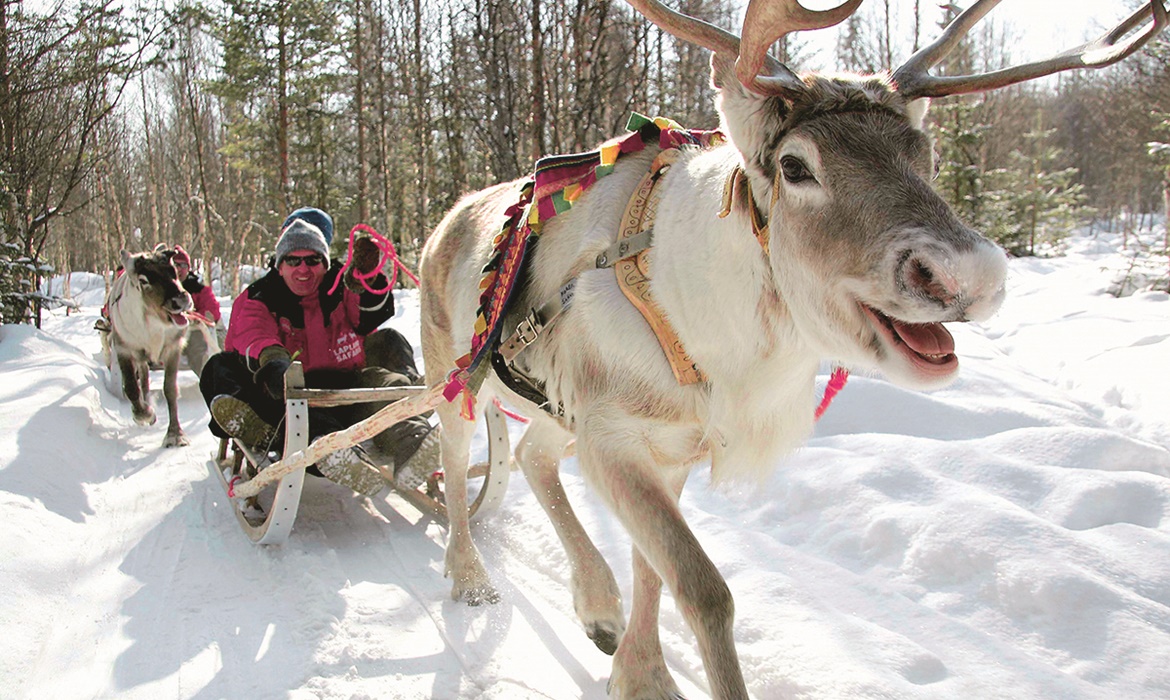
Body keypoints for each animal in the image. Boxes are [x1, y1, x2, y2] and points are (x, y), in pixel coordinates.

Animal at [418, 0, 1167, 697]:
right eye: (795, 165)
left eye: (924, 154)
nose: (968, 276)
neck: (717, 344)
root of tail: (443, 221)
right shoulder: (613, 435)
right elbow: (703, 588)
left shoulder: (668, 446)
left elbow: (653, 571)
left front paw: (641, 673)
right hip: (451, 378)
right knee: (455, 469)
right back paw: (469, 576)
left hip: (552, 407)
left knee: (533, 455)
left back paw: (597, 606)